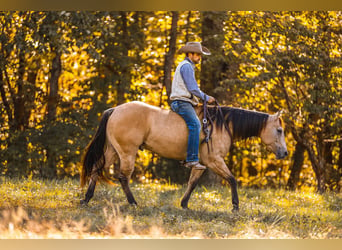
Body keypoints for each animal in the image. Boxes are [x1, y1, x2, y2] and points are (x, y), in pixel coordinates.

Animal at [79, 100, 288, 212]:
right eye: (279, 130)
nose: (285, 153)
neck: (221, 125)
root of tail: (115, 110)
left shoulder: (201, 164)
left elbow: (193, 183)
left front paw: (184, 204)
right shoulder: (215, 161)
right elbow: (232, 179)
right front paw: (235, 206)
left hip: (113, 151)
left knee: (97, 169)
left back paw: (86, 199)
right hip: (127, 152)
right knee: (123, 178)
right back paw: (133, 202)